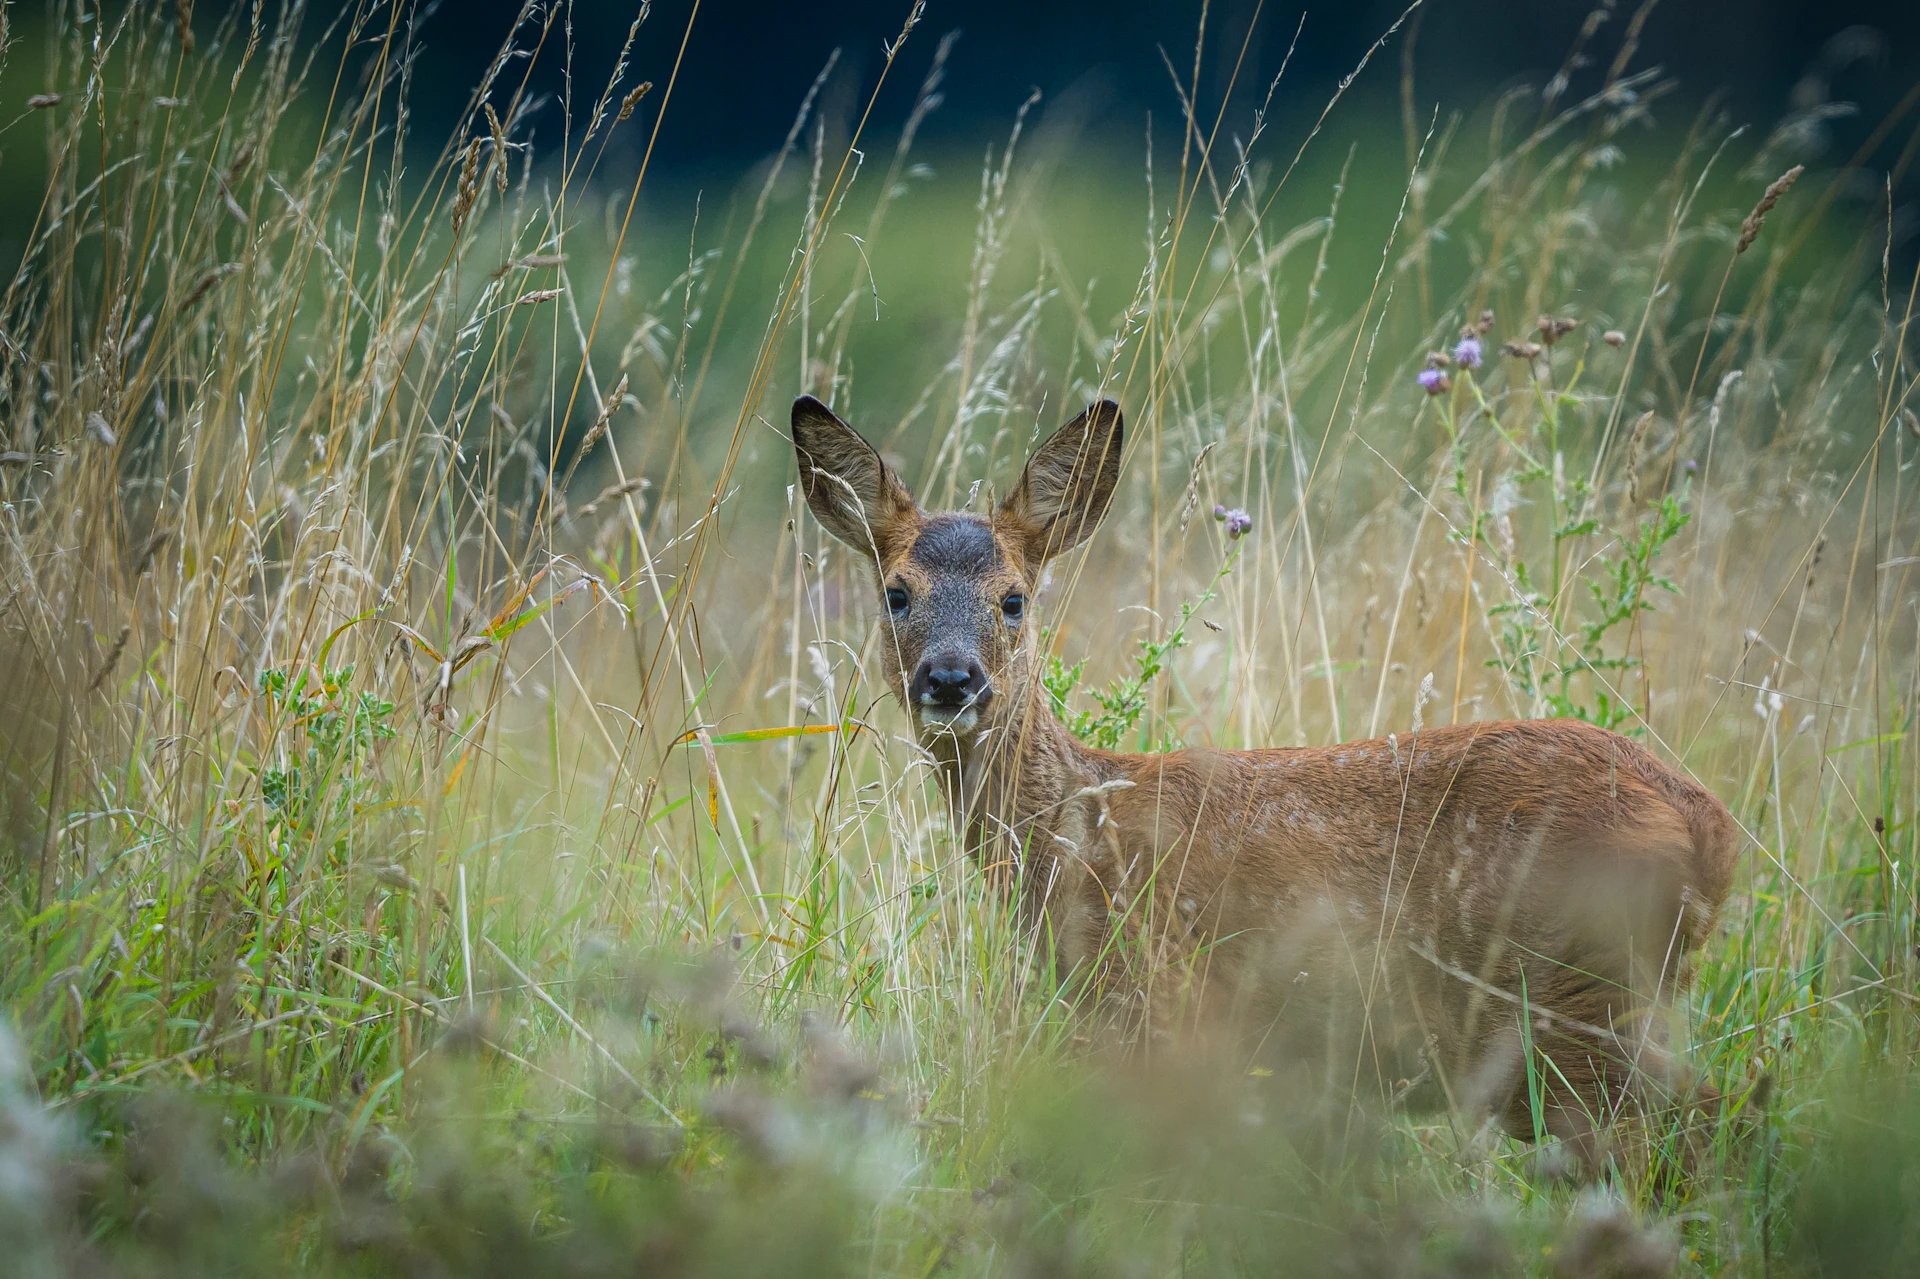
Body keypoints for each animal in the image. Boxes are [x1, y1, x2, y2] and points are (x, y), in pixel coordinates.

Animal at [790, 393, 1739, 1158]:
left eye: (1014, 597)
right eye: (897, 592)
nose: (951, 679)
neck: (1076, 836)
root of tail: (1711, 827)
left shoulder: (1167, 1006)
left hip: (1577, 1001)